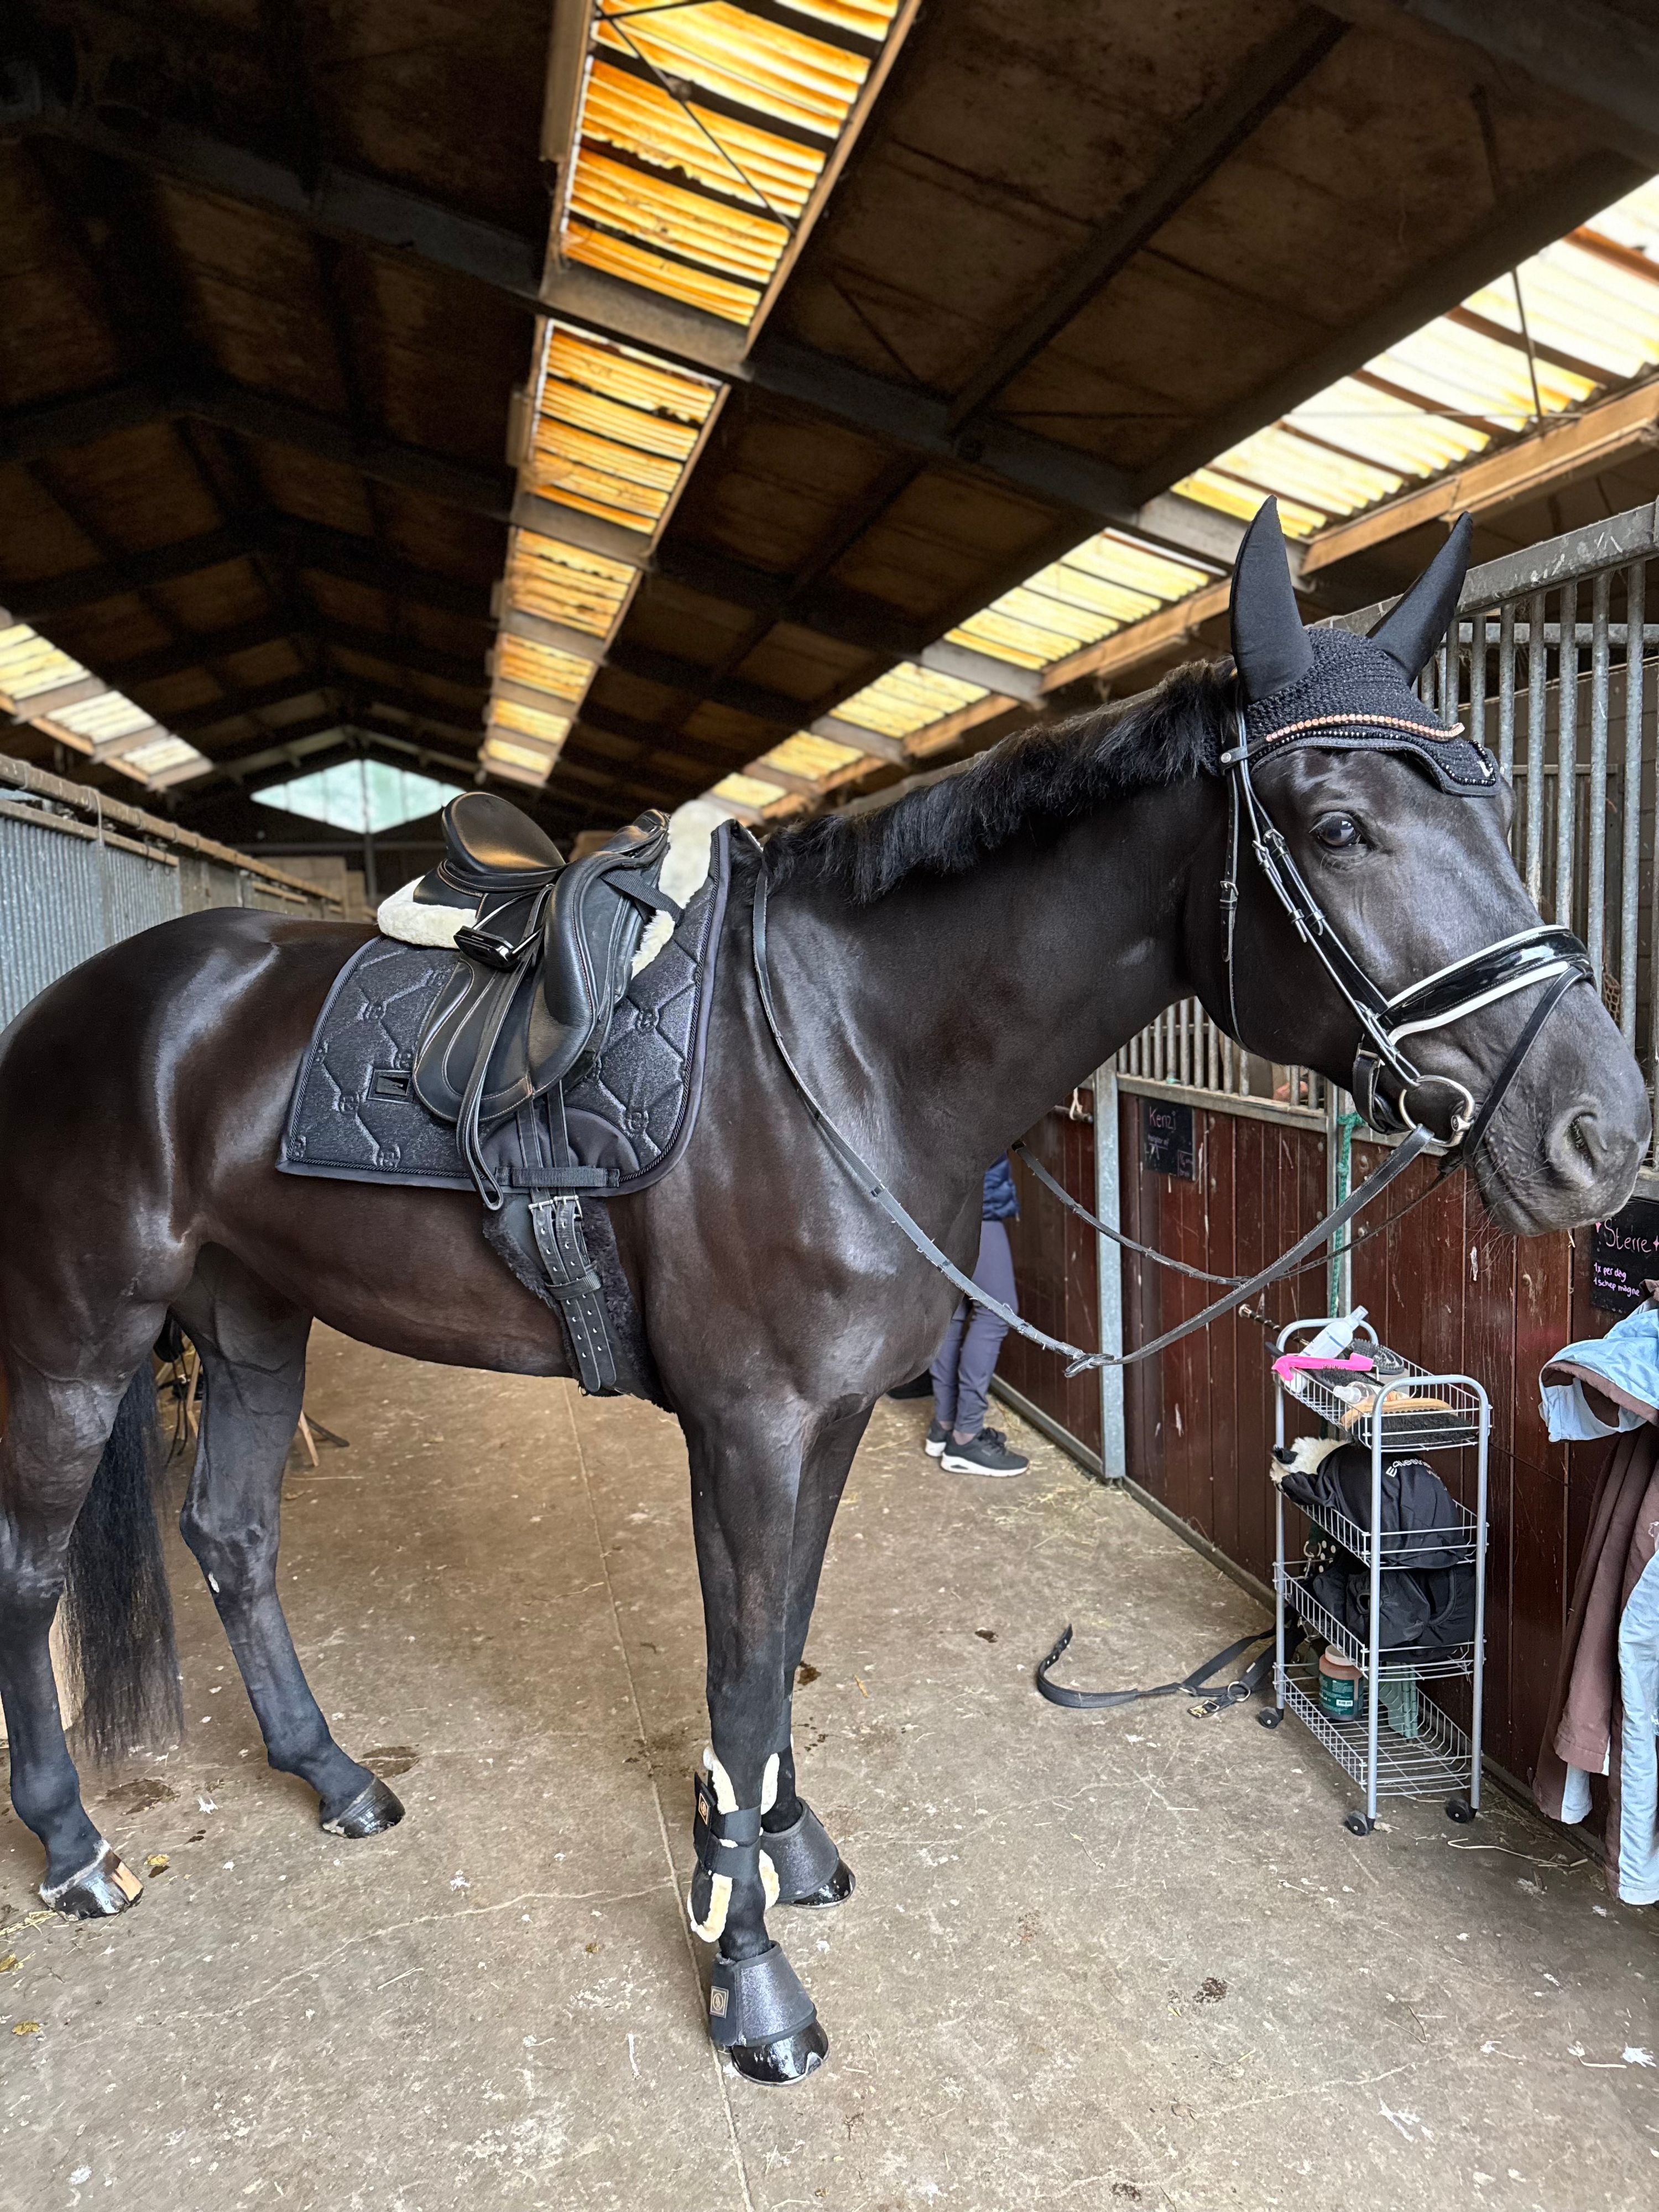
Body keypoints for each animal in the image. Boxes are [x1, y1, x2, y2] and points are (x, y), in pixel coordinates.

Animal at [0, 502, 1647, 2084]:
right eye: (1337, 822)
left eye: (1494, 806)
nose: (1601, 1132)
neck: (852, 1049)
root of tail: (77, 1008)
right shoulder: (748, 1429)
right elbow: (738, 1676)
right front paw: (748, 1976)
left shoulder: (837, 1418)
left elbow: (782, 1643)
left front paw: (783, 1853)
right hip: (82, 1343)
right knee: (31, 1573)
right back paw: (77, 1848)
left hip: (253, 1320)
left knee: (232, 1537)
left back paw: (334, 1777)